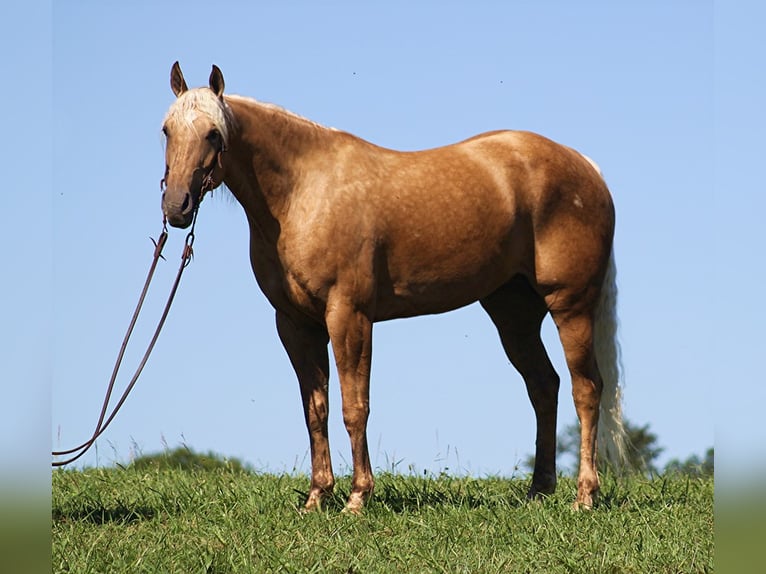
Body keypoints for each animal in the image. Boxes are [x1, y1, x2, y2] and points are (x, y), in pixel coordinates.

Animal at [160, 62, 624, 512]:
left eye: (213, 133)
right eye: (166, 129)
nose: (176, 207)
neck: (303, 191)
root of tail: (586, 166)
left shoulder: (348, 315)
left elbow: (354, 407)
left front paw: (357, 497)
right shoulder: (294, 324)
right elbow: (315, 409)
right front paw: (316, 497)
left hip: (571, 307)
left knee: (586, 389)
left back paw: (585, 496)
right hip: (514, 314)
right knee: (544, 387)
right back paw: (538, 491)